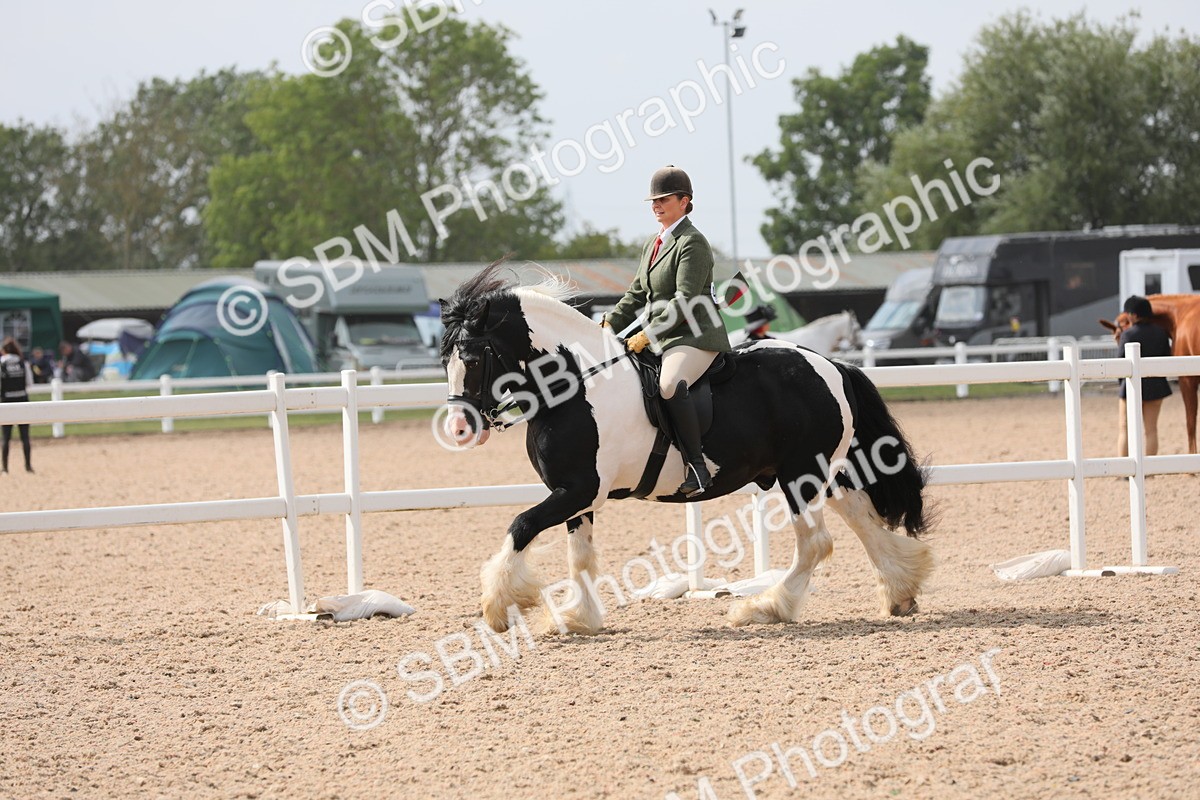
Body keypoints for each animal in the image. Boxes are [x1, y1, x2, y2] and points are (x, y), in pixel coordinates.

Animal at [439, 262, 934, 634]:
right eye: (444, 359)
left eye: (473, 358)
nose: (461, 428)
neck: (575, 385)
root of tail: (831, 364)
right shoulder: (576, 494)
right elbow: (579, 556)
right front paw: (579, 618)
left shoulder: (578, 489)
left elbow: (521, 525)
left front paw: (498, 607)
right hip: (821, 473)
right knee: (862, 519)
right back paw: (900, 592)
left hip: (801, 477)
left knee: (816, 544)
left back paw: (765, 608)